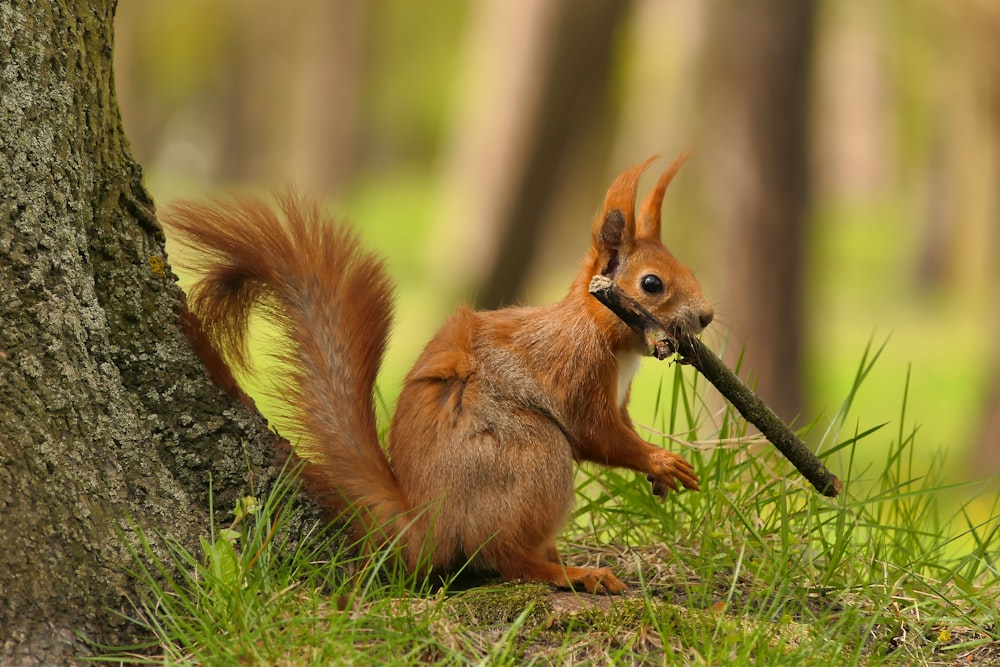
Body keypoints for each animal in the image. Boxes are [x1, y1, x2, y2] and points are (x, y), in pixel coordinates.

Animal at [166, 153, 712, 596]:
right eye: (652, 284)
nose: (706, 317)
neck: (602, 334)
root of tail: (428, 524)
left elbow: (618, 430)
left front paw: (660, 473)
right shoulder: (575, 371)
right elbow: (597, 435)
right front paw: (661, 461)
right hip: (531, 457)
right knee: (508, 557)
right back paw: (570, 573)